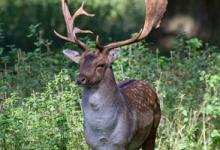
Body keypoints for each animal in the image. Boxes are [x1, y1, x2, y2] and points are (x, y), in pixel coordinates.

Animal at [54, 0, 167, 149]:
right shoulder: (91, 143)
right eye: (80, 63)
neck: (104, 135)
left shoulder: (123, 143)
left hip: (153, 128)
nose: (80, 79)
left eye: (101, 64)